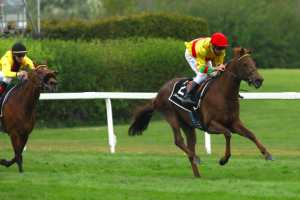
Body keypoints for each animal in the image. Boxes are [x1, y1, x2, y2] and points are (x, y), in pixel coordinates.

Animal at [128, 47, 274, 178]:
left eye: (254, 63)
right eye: (244, 64)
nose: (259, 80)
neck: (224, 94)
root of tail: (159, 92)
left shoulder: (234, 123)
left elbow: (251, 134)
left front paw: (267, 154)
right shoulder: (209, 125)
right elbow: (227, 134)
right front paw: (223, 159)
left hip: (187, 125)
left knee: (190, 146)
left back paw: (197, 174)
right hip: (170, 115)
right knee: (179, 141)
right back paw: (197, 157)